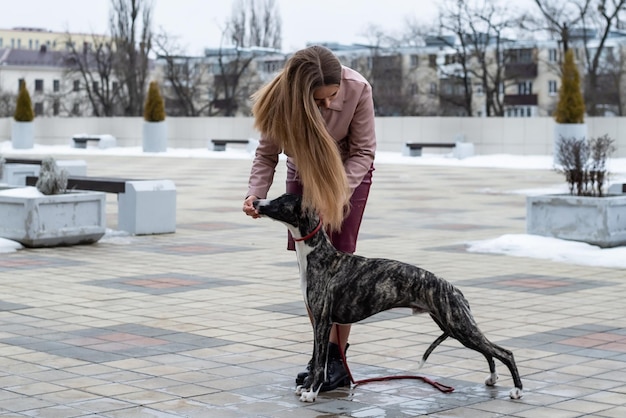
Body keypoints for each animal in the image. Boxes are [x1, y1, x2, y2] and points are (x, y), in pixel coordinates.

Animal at [251, 194, 520, 404]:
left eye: (280, 200)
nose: (254, 201)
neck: (318, 254)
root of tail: (453, 288)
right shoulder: (319, 321)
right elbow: (319, 357)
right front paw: (307, 388)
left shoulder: (323, 321)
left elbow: (320, 363)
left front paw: (311, 392)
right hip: (454, 325)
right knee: (488, 352)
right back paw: (492, 379)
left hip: (458, 325)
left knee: (504, 352)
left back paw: (517, 390)